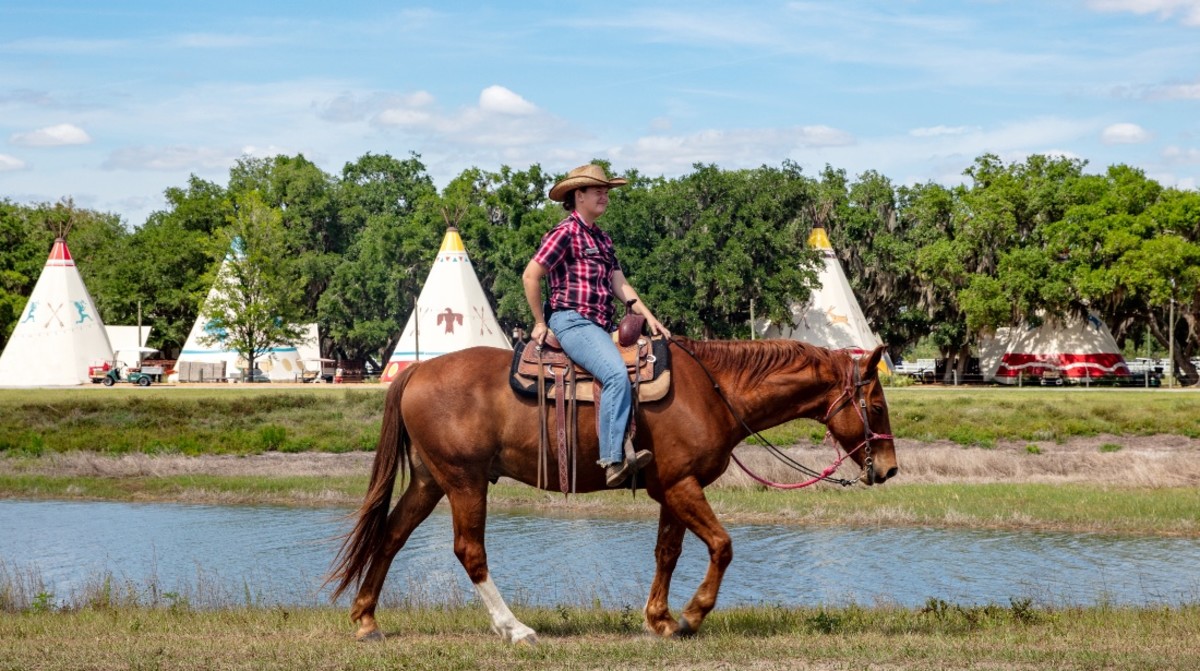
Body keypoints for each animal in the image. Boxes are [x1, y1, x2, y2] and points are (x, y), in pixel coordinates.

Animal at [324, 338, 897, 643]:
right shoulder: (682, 486)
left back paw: (366, 618)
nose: (889, 469)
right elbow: (722, 545)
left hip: (430, 480)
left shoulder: (672, 488)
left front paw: (659, 619)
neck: (715, 392)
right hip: (464, 482)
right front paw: (692, 615)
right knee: (470, 551)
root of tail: (418, 368)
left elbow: (668, 551)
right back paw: (514, 628)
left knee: (391, 536)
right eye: (876, 404)